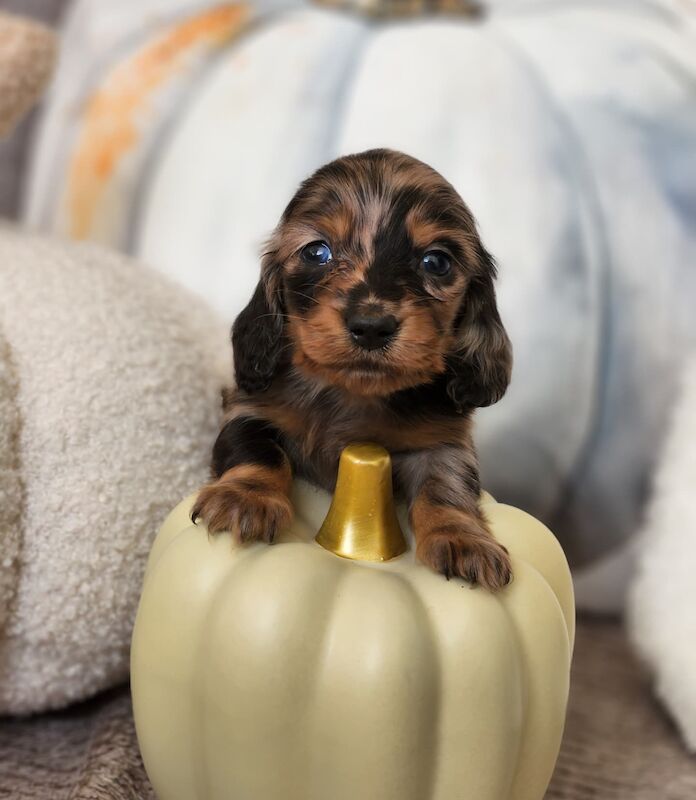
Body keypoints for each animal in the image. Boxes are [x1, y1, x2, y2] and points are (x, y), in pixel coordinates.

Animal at [193, 148, 512, 588]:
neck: (353, 394)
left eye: (436, 261)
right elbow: (257, 450)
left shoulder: (443, 441)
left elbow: (447, 486)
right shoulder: (249, 408)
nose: (371, 326)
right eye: (316, 252)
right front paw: (245, 498)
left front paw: (463, 539)